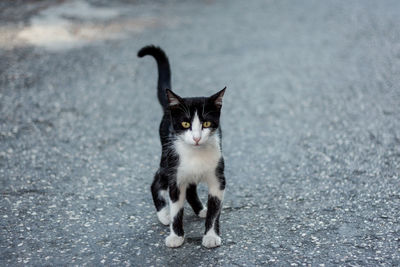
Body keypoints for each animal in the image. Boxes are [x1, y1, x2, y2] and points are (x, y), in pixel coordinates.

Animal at [137, 46, 225, 249]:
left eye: (206, 123)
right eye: (185, 124)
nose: (197, 138)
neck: (196, 154)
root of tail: (169, 107)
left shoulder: (218, 178)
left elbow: (215, 210)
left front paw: (211, 235)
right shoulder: (176, 177)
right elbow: (177, 208)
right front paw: (176, 236)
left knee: (191, 188)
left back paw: (200, 209)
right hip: (167, 157)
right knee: (156, 181)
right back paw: (164, 215)